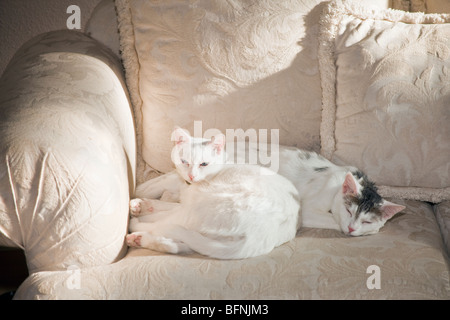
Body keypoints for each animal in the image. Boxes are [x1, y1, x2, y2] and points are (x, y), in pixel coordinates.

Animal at [126, 128, 300, 260]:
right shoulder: (185, 200)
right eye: (184, 162)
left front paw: (142, 207)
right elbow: (166, 204)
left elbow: (164, 210)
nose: (191, 176)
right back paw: (139, 238)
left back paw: (135, 226)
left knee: (163, 225)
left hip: (198, 212)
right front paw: (144, 204)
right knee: (178, 245)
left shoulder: (187, 203)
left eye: (204, 164)